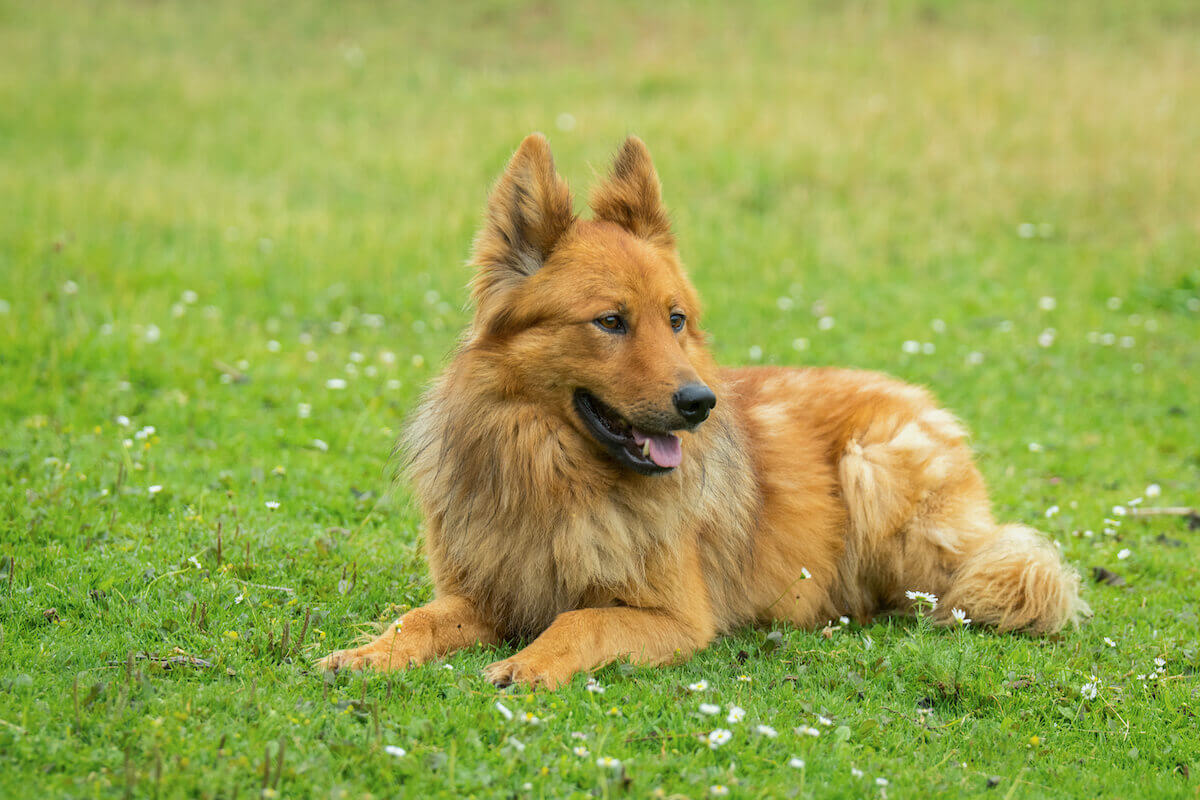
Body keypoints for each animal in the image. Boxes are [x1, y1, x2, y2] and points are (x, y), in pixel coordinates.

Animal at [317, 133, 1088, 688]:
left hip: (877, 473)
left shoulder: (675, 616)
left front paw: (529, 662)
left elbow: (579, 622)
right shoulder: (479, 594)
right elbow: (416, 620)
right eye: (610, 321)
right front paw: (368, 652)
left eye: (676, 319)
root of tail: (923, 399)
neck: (558, 477)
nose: (700, 404)